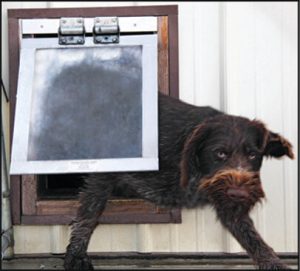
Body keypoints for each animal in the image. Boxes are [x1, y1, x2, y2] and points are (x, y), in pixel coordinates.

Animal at [64, 93, 294, 270]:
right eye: (220, 153)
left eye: (253, 155)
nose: (239, 194)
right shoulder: (104, 173)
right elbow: (89, 215)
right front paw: (76, 255)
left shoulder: (228, 202)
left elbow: (253, 238)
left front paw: (274, 263)